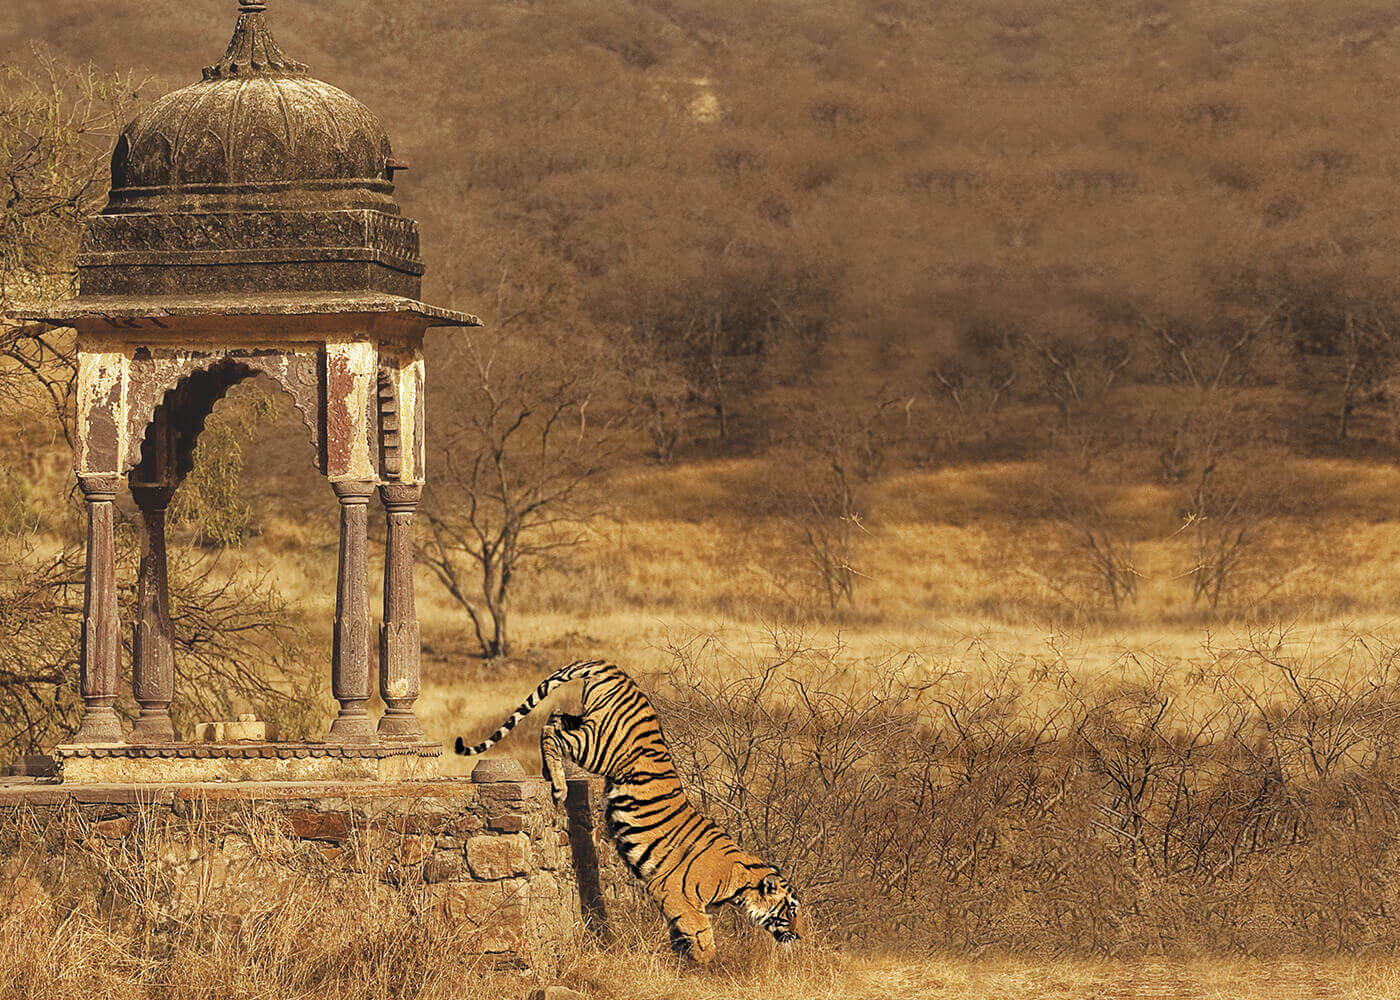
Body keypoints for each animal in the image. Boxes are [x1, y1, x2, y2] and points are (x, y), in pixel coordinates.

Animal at [453, 655, 806, 957]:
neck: (739, 882)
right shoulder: (677, 894)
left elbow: (681, 934)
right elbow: (702, 934)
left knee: (554, 718)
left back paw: (548, 772)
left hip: (586, 723)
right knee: (552, 731)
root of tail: (612, 667)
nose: (800, 936)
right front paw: (706, 967)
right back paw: (558, 785)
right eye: (790, 910)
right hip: (599, 746)